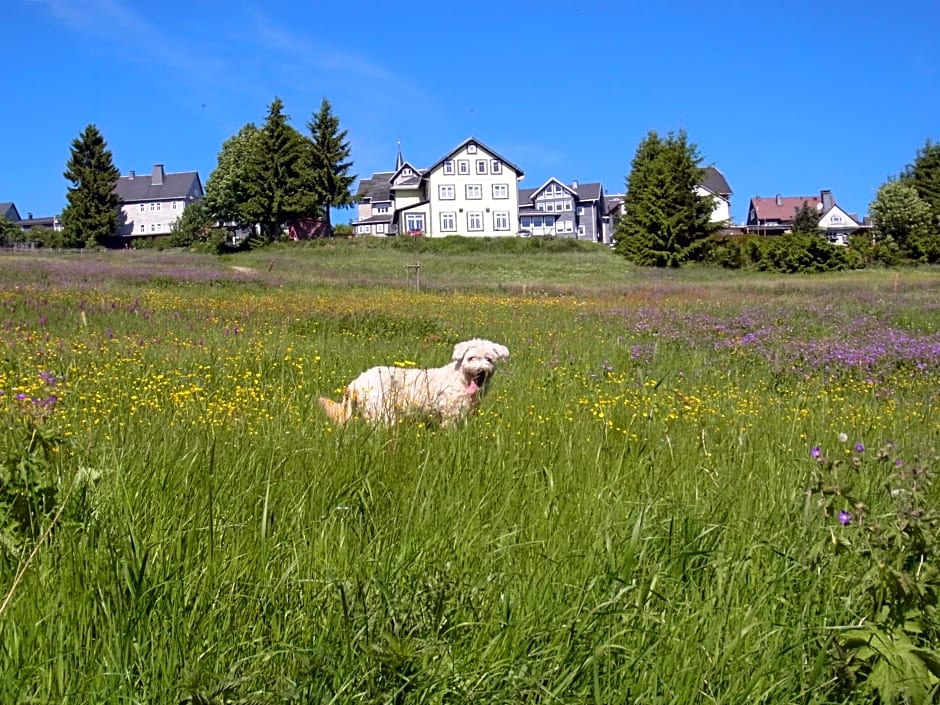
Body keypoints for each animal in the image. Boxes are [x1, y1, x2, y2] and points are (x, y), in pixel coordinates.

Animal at [320, 338, 510, 426]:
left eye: (489, 359)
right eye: (471, 358)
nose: (480, 370)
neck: (461, 378)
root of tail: (356, 382)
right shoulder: (451, 415)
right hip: (381, 413)